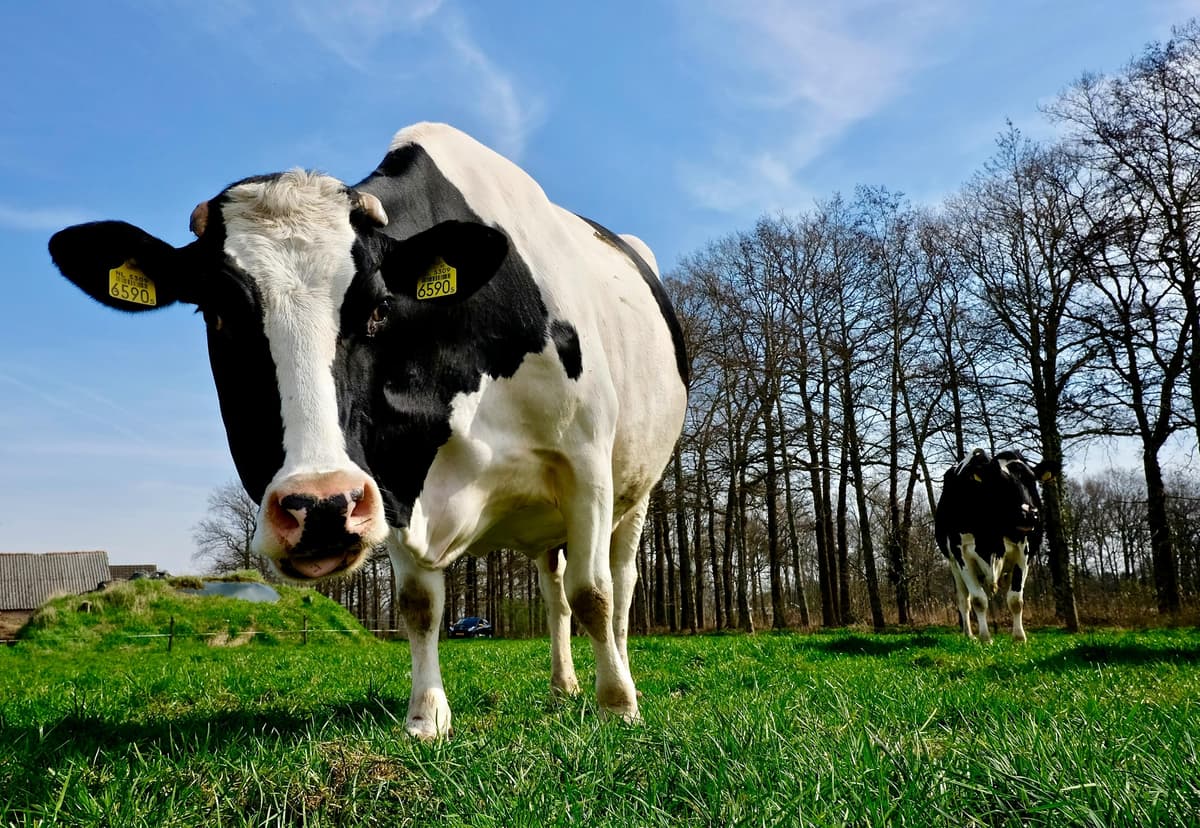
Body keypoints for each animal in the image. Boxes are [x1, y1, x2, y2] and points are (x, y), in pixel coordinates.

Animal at [47, 122, 689, 738]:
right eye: (216, 312)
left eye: (380, 306)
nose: (321, 507)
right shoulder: (391, 481)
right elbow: (419, 605)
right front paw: (427, 717)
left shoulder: (585, 462)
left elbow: (594, 592)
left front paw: (617, 707)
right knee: (553, 591)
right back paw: (562, 685)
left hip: (635, 491)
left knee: (618, 584)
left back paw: (616, 676)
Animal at [934, 448, 1054, 643]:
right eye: (1000, 481)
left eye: (1032, 479)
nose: (1029, 514)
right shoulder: (963, 555)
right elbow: (978, 600)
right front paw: (985, 638)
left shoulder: (1024, 553)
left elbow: (1016, 600)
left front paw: (1019, 637)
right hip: (953, 564)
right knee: (964, 600)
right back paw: (969, 635)